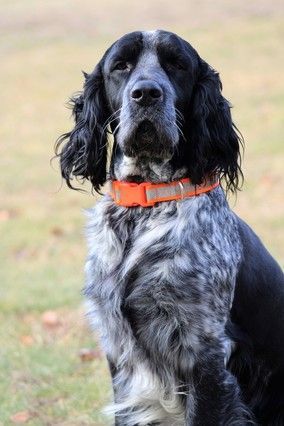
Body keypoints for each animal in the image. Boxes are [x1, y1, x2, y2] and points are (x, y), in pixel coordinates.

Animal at [56, 30, 284, 426]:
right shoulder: (120, 354)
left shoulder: (205, 351)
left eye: (177, 65)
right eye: (121, 65)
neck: (147, 207)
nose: (146, 93)